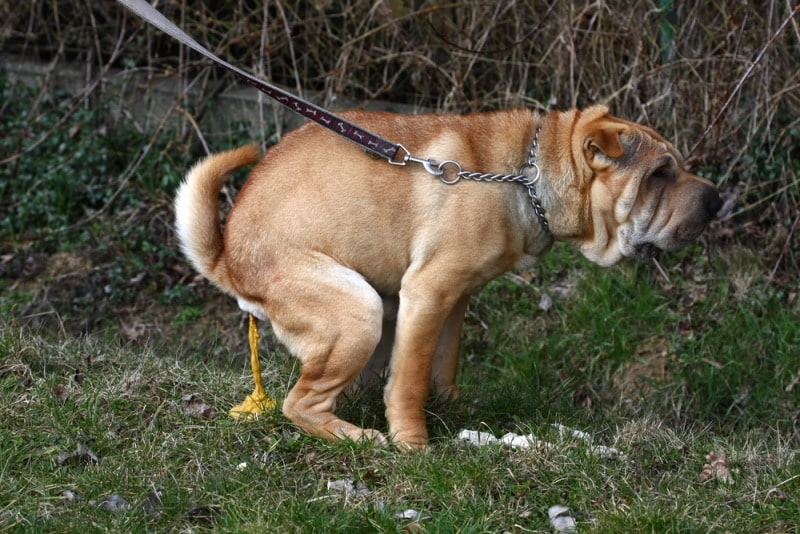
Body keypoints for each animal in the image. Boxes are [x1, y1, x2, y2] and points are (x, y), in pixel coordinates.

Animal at [173, 104, 720, 448]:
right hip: (358, 310)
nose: (717, 199)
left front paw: (453, 407)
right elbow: (410, 380)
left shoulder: (455, 298)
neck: (527, 177)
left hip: (379, 308)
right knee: (299, 404)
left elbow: (444, 363)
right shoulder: (429, 291)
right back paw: (359, 438)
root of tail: (229, 261)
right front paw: (414, 443)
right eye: (659, 175)